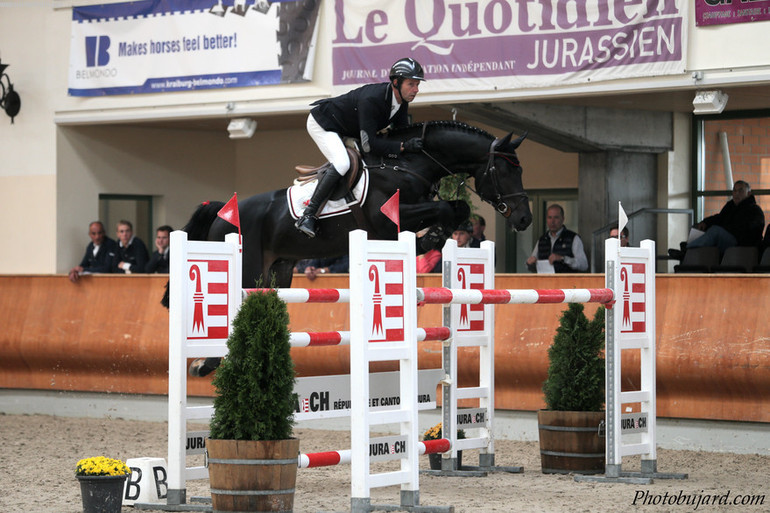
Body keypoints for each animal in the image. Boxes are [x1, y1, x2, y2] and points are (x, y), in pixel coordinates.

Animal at [179, 119, 532, 288]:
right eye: (504, 171)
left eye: (521, 170)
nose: (525, 220)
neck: (408, 163)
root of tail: (221, 212)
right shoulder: (387, 217)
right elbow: (446, 208)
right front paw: (432, 237)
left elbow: (457, 209)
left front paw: (433, 238)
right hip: (248, 264)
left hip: (279, 267)